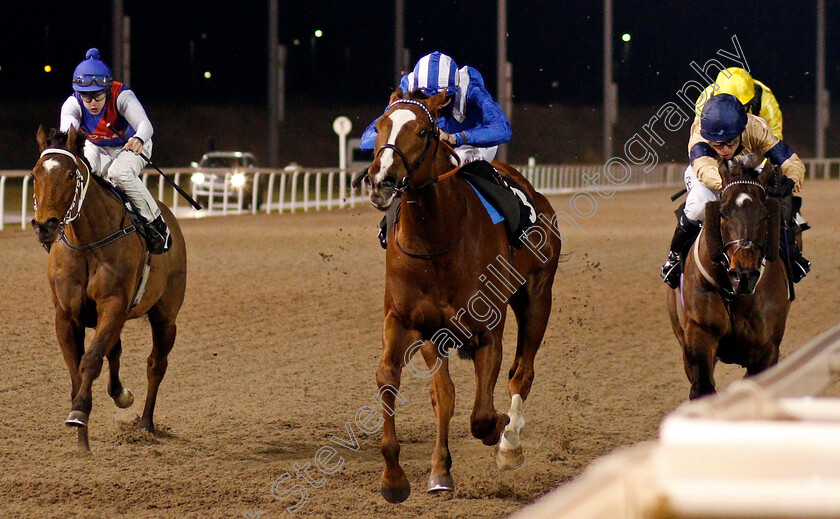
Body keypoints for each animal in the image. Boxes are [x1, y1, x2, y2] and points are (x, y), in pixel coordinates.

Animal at [31, 125, 187, 450]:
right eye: (35, 173)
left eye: (70, 174)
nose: (45, 225)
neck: (86, 243)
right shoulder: (66, 315)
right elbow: (76, 369)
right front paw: (82, 440)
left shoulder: (113, 305)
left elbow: (89, 361)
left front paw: (79, 413)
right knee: (115, 350)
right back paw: (121, 395)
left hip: (166, 316)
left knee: (156, 364)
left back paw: (146, 423)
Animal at [360, 90, 560, 504]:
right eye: (380, 124)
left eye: (423, 131)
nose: (381, 180)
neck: (437, 240)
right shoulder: (416, 325)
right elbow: (414, 386)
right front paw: (402, 476)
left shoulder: (487, 331)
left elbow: (483, 416)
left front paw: (500, 427)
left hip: (537, 297)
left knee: (522, 373)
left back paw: (510, 444)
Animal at [668, 158, 792, 402]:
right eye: (723, 212)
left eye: (765, 214)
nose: (743, 275)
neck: (734, 294)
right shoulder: (699, 331)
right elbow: (702, 388)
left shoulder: (768, 348)